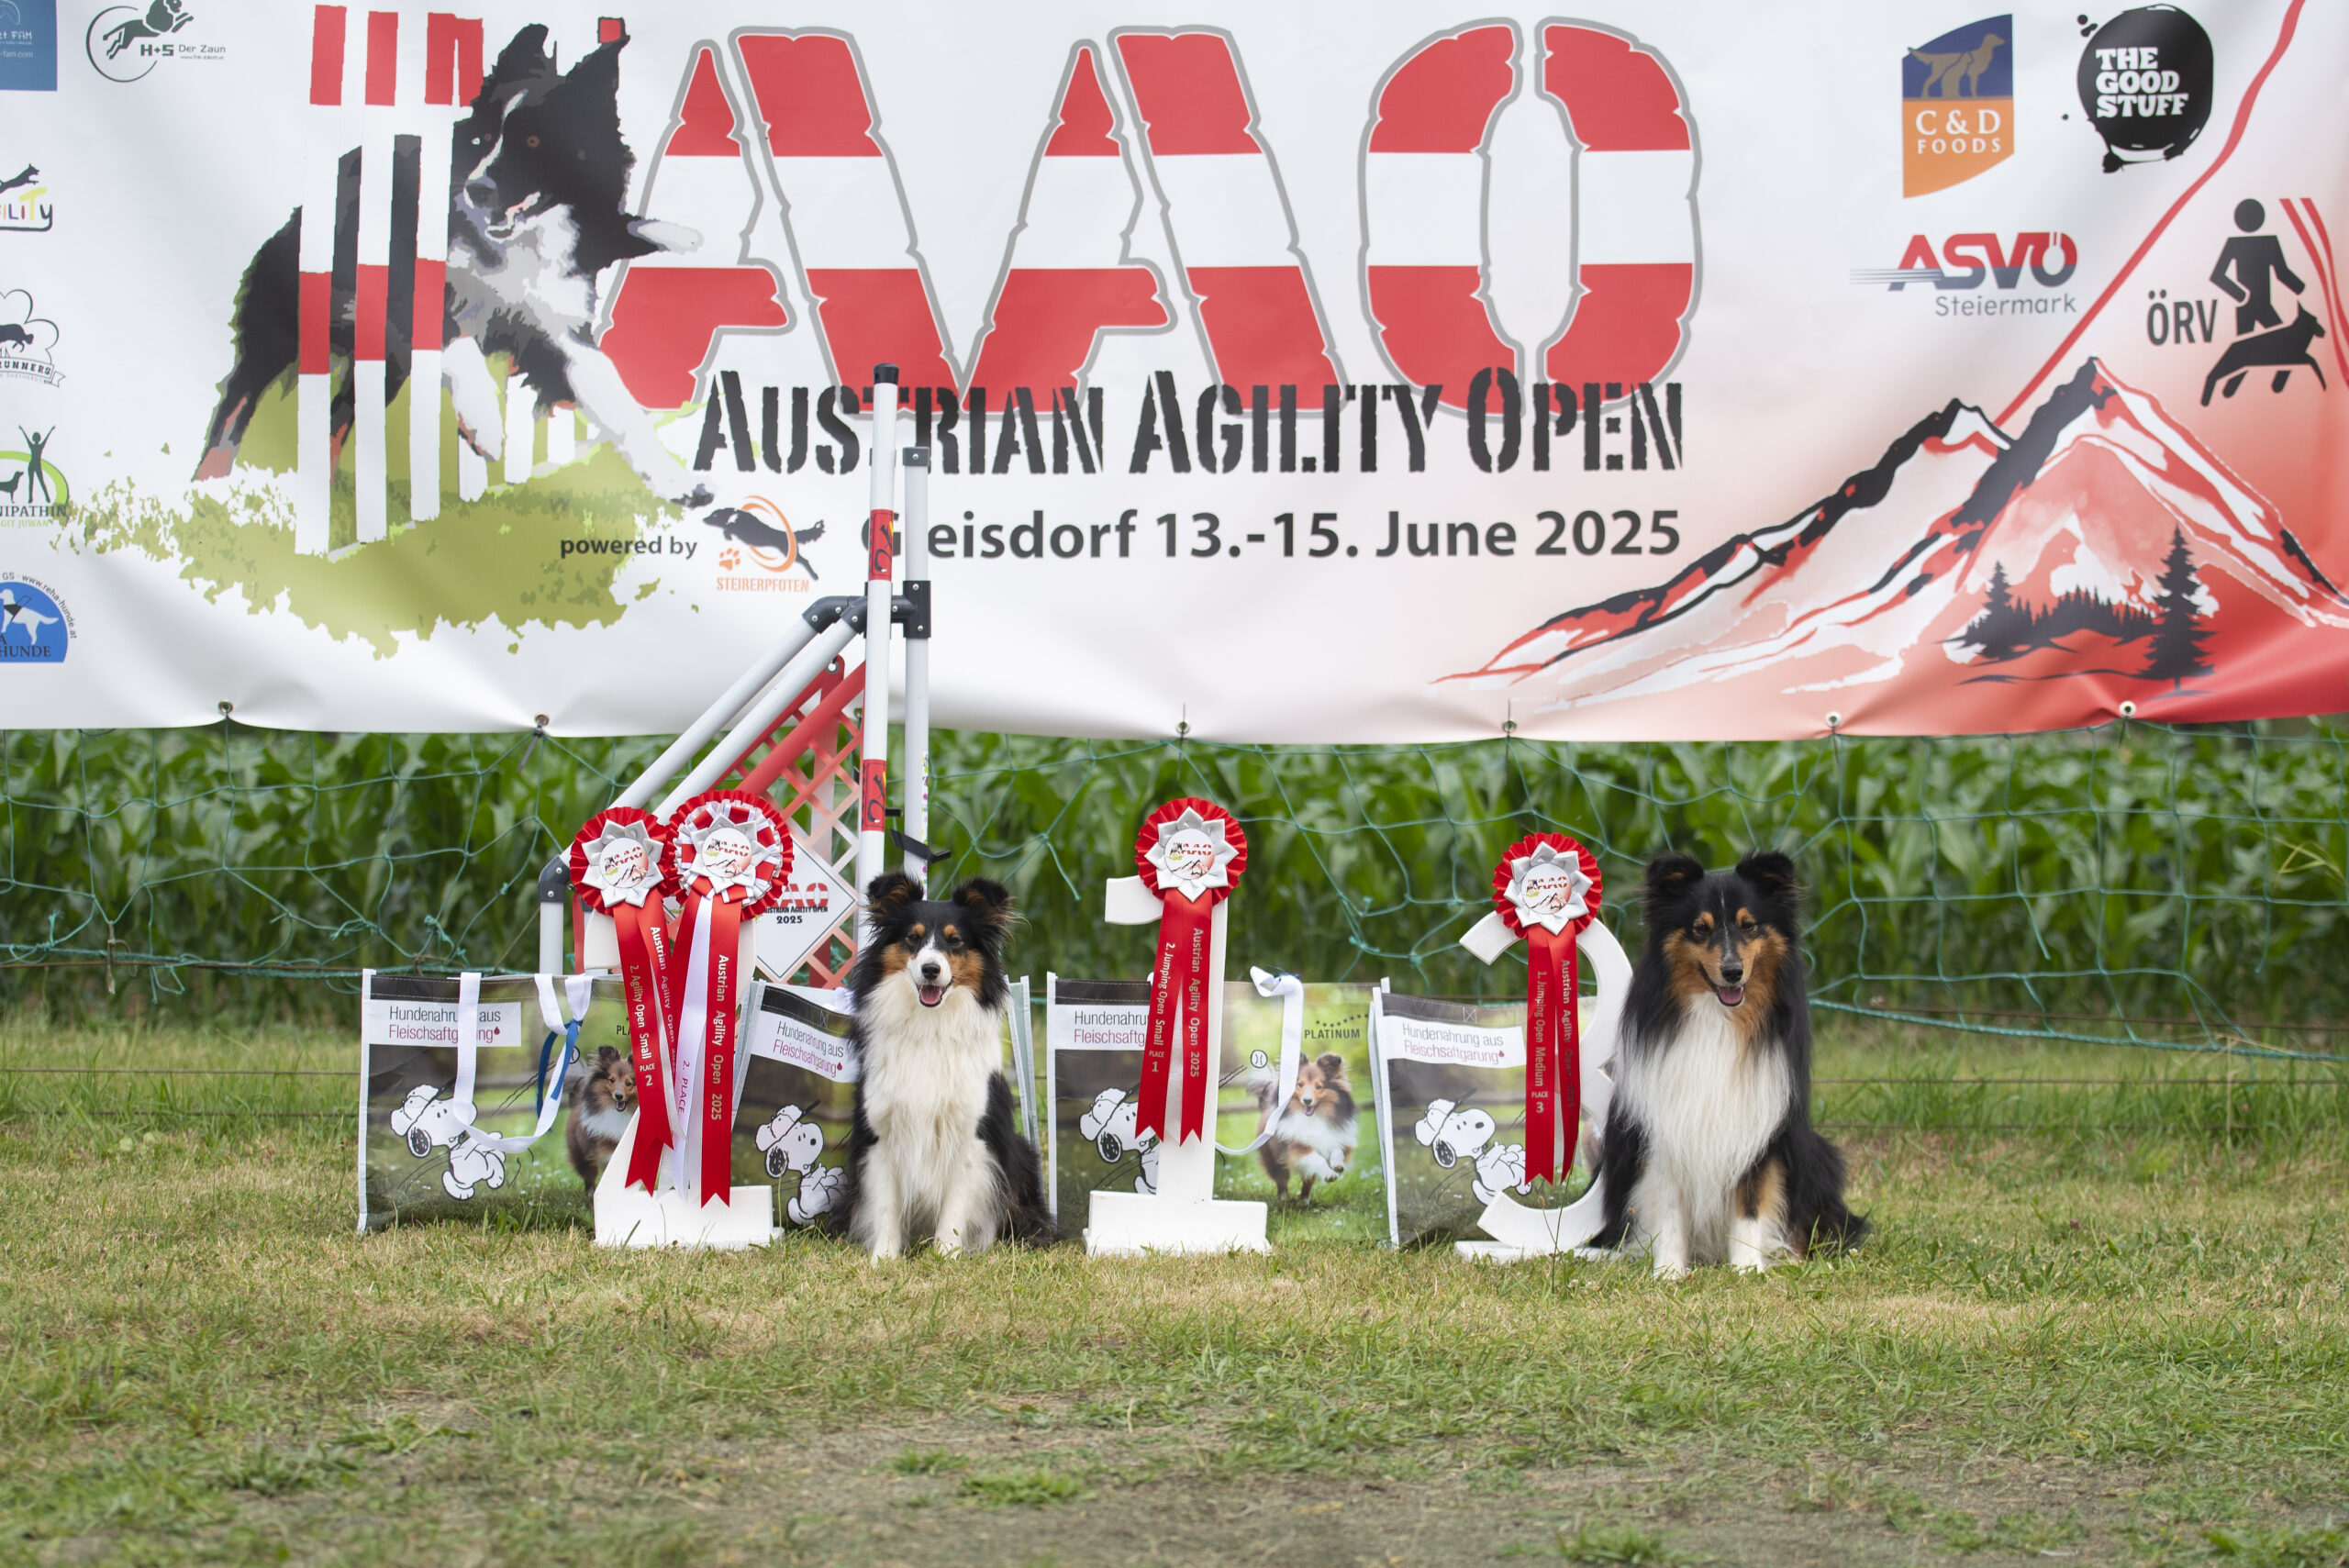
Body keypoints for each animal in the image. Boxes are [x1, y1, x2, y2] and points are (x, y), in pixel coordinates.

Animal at [196, 24, 708, 507]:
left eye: (534, 141)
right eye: (483, 139)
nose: (477, 190)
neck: (515, 246)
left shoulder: (560, 329)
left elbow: (621, 405)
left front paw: (674, 480)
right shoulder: (404, 279)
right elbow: (453, 337)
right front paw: (483, 419)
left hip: (382, 360)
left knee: (334, 419)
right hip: (291, 313)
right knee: (234, 408)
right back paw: (208, 490)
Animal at [839, 872, 1053, 1259]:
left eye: (955, 941)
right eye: (912, 937)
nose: (931, 969)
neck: (931, 1026)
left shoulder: (970, 1134)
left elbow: (955, 1205)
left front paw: (945, 1256)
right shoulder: (880, 1133)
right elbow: (886, 1205)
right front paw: (883, 1258)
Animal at [1254, 1052, 1358, 1201]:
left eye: (1319, 1086)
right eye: (1300, 1085)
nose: (1307, 1100)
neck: (1314, 1117)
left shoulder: (1339, 1136)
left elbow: (1337, 1150)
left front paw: (1337, 1165)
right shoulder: (1297, 1146)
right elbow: (1318, 1158)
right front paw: (1329, 1174)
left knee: (1308, 1181)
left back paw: (1305, 1200)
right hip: (1275, 1160)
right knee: (1282, 1181)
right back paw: (1283, 1200)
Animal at [1589, 851, 1866, 1276]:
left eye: (1748, 926)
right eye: (1700, 930)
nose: (1733, 972)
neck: (1719, 1018)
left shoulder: (1757, 1132)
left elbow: (1750, 1205)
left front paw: (1748, 1269)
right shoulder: (1663, 1134)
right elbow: (1668, 1208)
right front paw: (1668, 1271)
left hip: (1816, 1155)